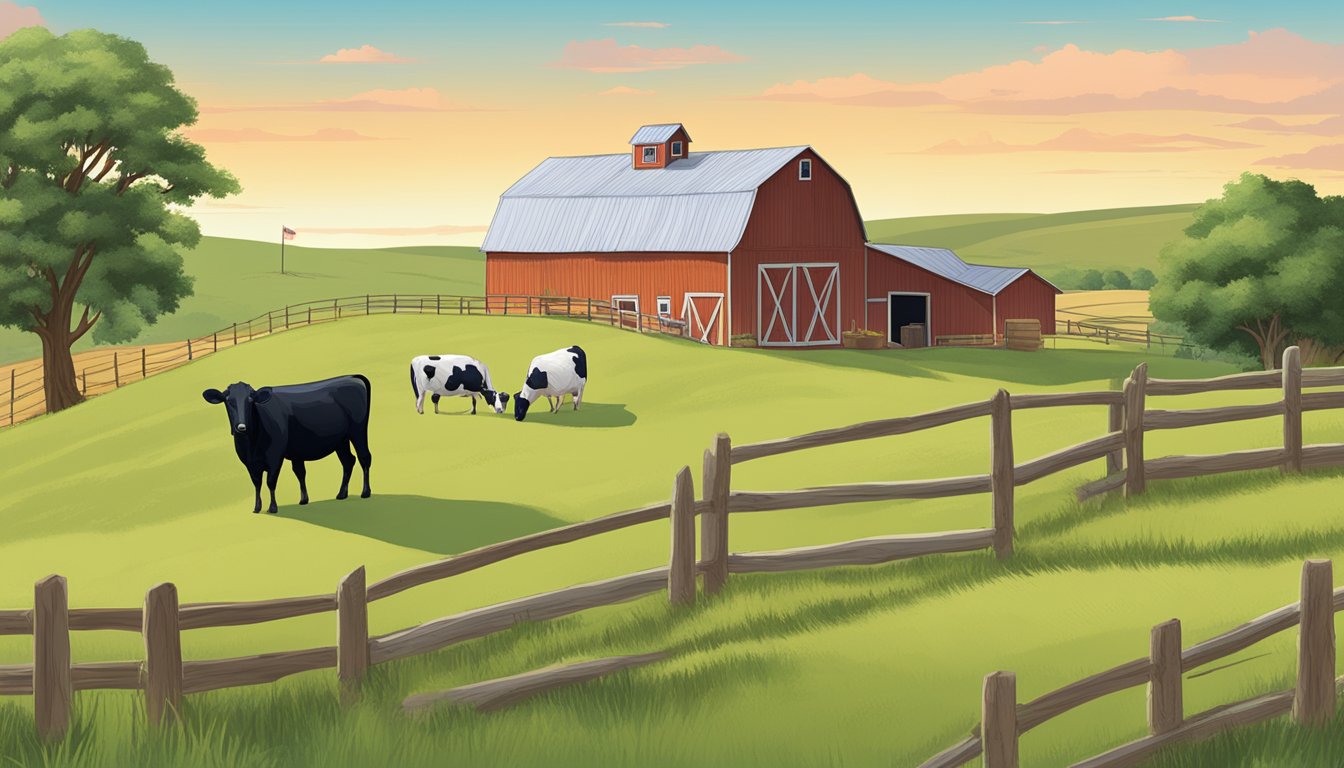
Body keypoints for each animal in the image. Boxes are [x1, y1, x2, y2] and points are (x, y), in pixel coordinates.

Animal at [196, 373, 373, 513]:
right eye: (228, 400)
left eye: (251, 400)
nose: (241, 427)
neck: (251, 446)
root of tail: (352, 376)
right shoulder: (250, 462)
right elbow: (258, 482)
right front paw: (257, 507)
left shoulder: (275, 456)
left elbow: (270, 481)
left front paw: (273, 507)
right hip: (341, 440)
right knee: (348, 461)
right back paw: (341, 494)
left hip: (358, 430)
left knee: (364, 457)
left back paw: (365, 492)